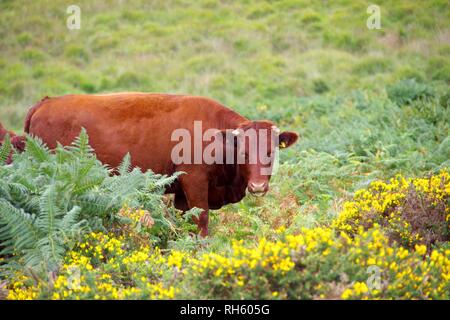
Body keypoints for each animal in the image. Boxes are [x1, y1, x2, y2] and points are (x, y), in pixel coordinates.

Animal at [25, 94, 298, 236]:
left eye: (271, 151)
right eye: (243, 151)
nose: (258, 186)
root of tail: (46, 102)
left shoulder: (182, 195)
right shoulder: (195, 183)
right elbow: (202, 221)